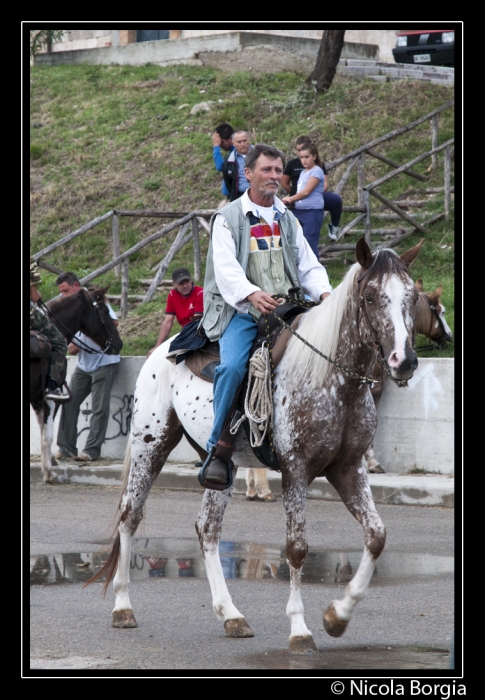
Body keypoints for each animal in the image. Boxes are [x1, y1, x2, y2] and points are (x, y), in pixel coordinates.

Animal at [30, 288, 122, 484]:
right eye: (104, 311)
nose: (119, 344)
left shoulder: (35, 397)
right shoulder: (48, 397)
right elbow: (47, 435)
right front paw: (49, 472)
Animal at [86, 241, 420, 656]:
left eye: (413, 296)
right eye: (371, 296)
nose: (404, 360)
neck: (332, 379)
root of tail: (159, 351)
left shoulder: (349, 468)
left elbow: (376, 536)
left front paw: (337, 617)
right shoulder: (296, 470)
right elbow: (297, 548)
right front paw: (300, 630)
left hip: (218, 465)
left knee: (207, 528)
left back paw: (231, 615)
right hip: (151, 444)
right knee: (130, 516)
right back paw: (123, 607)